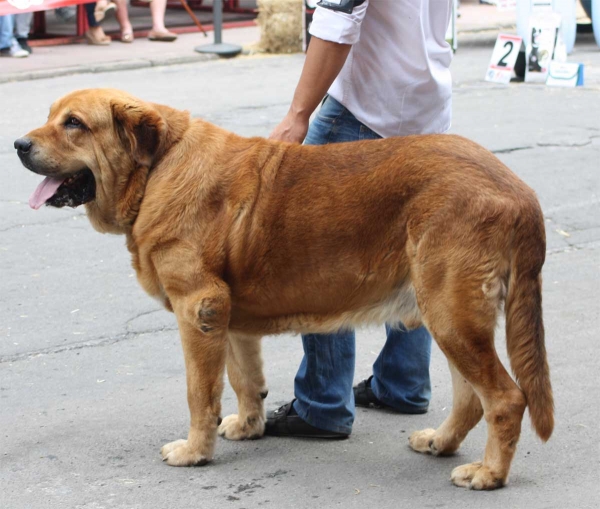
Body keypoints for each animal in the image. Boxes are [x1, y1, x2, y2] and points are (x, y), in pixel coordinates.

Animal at [15, 88, 552, 488]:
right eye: (50, 117)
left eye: (74, 124)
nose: (19, 144)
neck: (158, 168)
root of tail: (520, 190)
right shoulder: (226, 316)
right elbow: (242, 380)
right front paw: (247, 427)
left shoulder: (197, 309)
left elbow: (199, 392)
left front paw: (195, 451)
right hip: (450, 317)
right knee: (471, 397)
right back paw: (441, 442)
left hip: (451, 313)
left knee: (505, 398)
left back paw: (489, 474)